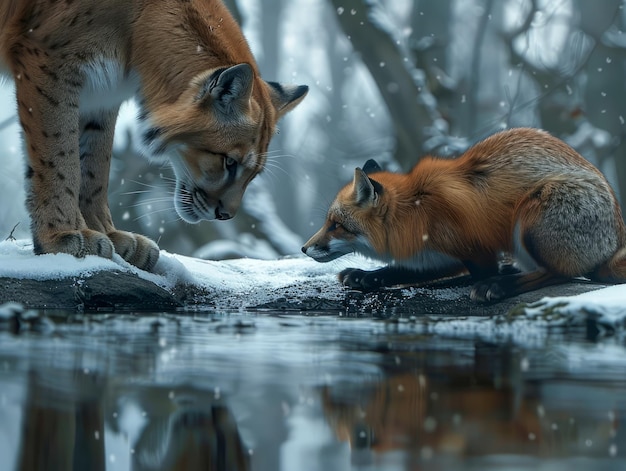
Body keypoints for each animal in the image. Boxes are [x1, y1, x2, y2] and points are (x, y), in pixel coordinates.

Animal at [302, 128, 624, 302]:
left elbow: (463, 276)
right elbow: (398, 271)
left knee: (559, 273)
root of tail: (617, 238)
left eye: (336, 225)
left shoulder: (476, 250)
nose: (304, 248)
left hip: (532, 216)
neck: (416, 211)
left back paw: (499, 286)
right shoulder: (438, 254)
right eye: (328, 222)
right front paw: (364, 275)